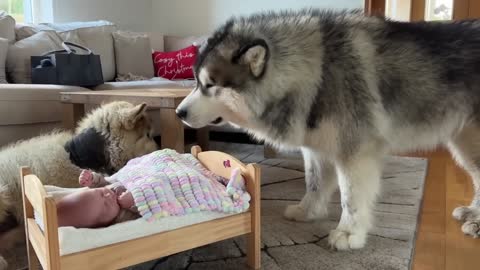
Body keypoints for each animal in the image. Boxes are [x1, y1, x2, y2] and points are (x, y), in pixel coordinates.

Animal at [177, 8, 480, 251]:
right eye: (195, 81)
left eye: (210, 84)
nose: (179, 113)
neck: (317, 70)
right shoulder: (316, 148)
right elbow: (314, 183)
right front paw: (307, 211)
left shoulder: (355, 154)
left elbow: (350, 198)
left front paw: (348, 234)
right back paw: (474, 216)